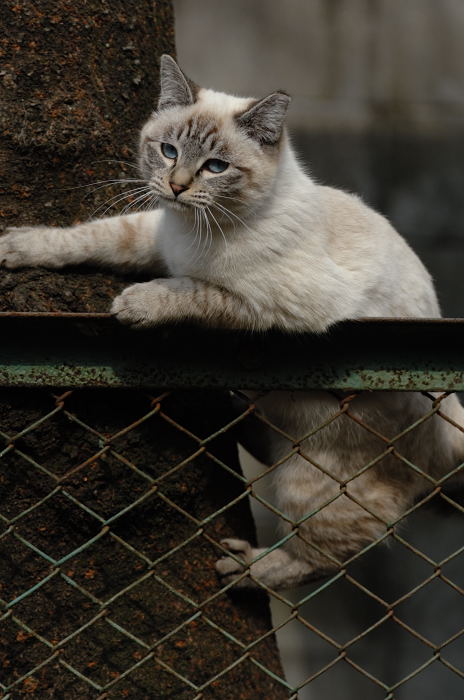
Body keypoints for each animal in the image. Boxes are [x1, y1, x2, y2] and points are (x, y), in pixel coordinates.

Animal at [0, 56, 464, 592]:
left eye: (216, 167)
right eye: (168, 151)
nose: (177, 186)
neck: (194, 233)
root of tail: (450, 430)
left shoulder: (271, 306)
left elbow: (195, 291)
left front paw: (136, 303)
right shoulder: (156, 235)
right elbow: (92, 237)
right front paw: (16, 247)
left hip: (314, 480)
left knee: (324, 554)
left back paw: (242, 568)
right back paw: (235, 414)